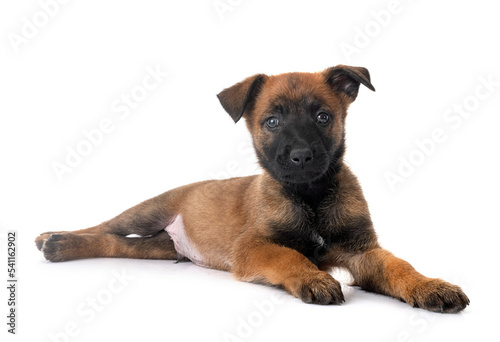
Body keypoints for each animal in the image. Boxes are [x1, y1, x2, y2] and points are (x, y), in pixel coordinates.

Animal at [35, 65, 468, 312]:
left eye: (323, 117)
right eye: (272, 122)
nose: (301, 156)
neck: (310, 196)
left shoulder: (363, 250)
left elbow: (399, 265)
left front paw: (430, 285)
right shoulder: (253, 247)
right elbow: (289, 256)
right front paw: (312, 278)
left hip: (161, 248)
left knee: (118, 244)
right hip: (149, 209)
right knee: (103, 227)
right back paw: (53, 239)